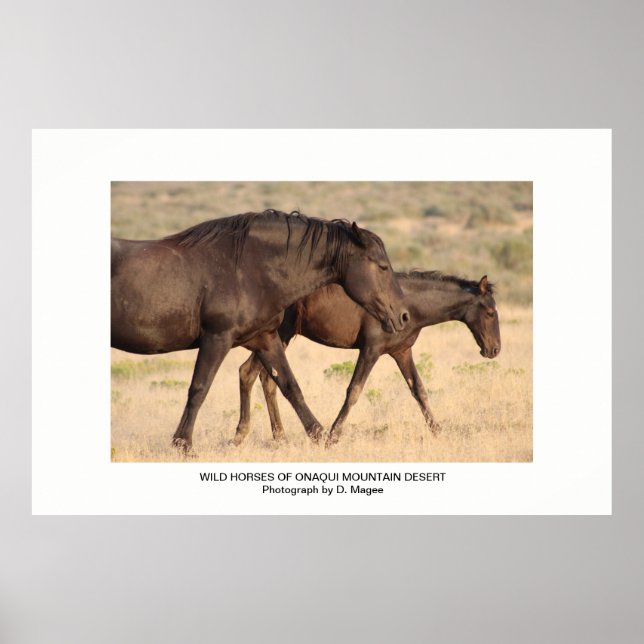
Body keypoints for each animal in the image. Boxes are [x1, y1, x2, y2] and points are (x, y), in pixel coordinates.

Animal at [111, 209, 409, 450]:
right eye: (382, 267)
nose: (403, 316)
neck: (246, 269)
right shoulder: (216, 339)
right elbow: (199, 389)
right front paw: (183, 445)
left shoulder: (265, 339)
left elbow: (290, 386)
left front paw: (320, 437)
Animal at [234, 271, 501, 446]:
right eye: (489, 312)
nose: (494, 349)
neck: (409, 304)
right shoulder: (371, 350)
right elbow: (354, 391)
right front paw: (333, 436)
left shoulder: (402, 352)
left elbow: (420, 392)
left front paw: (438, 431)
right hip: (279, 335)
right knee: (252, 373)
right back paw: (245, 435)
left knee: (262, 377)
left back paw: (277, 437)